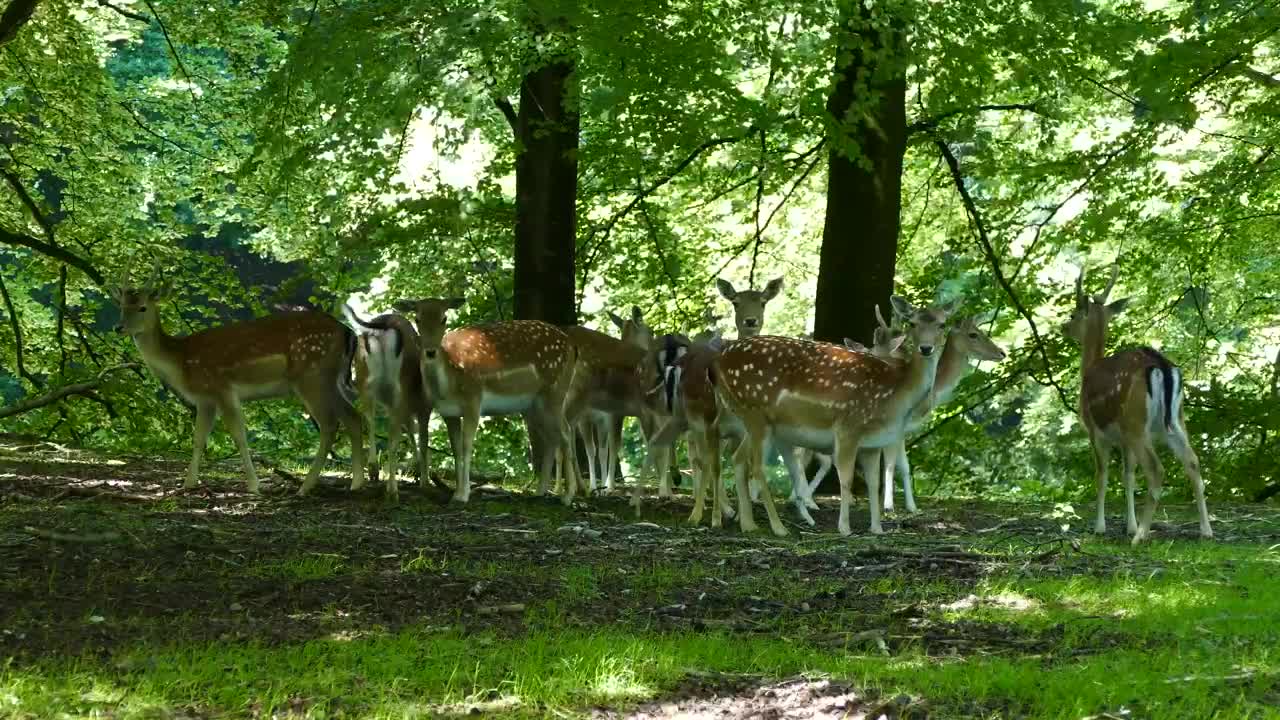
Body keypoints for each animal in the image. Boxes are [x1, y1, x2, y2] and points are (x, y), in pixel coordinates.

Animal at [110, 263, 366, 491]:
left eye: (142, 307)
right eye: (121, 305)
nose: (118, 327)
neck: (181, 361)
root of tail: (348, 332)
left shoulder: (222, 388)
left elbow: (239, 436)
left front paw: (253, 486)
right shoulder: (205, 399)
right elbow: (199, 439)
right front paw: (189, 483)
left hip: (312, 376)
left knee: (330, 424)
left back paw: (306, 486)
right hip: (331, 380)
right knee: (353, 417)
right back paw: (355, 483)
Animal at [343, 301, 437, 499]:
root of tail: (383, 326)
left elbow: (410, 429)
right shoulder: (424, 407)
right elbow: (422, 438)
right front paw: (424, 480)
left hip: (364, 378)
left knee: (368, 417)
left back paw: (373, 470)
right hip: (398, 387)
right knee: (393, 436)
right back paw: (393, 490)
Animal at [396, 294, 583, 502]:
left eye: (444, 318)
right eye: (417, 318)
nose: (430, 351)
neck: (449, 384)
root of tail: (573, 347)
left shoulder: (474, 399)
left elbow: (467, 445)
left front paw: (463, 495)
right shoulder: (448, 412)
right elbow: (456, 449)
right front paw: (456, 493)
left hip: (555, 391)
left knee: (565, 432)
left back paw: (568, 496)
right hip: (534, 405)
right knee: (551, 437)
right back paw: (540, 492)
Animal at [716, 294, 957, 535]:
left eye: (942, 324)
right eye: (912, 324)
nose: (926, 348)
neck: (895, 395)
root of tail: (720, 360)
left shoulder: (874, 443)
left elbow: (873, 482)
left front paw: (877, 528)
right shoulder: (848, 427)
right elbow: (846, 478)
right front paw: (845, 528)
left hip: (754, 420)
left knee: (738, 459)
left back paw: (748, 524)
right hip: (755, 413)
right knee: (757, 467)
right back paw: (778, 527)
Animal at [1064, 266, 1213, 540]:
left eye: (1073, 313)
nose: (1063, 327)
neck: (1089, 369)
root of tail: (1162, 366)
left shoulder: (1095, 431)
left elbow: (1102, 477)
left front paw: (1101, 527)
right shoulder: (1123, 440)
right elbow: (1128, 476)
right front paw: (1128, 525)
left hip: (1136, 422)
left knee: (1156, 469)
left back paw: (1141, 535)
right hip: (1176, 420)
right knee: (1193, 462)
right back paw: (1206, 530)